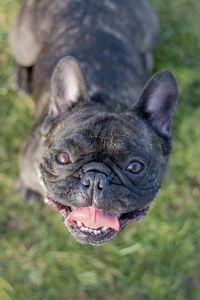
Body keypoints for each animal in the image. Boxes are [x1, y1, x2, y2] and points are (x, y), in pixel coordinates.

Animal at [9, 0, 178, 245]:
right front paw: (28, 190)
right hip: (24, 46)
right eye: (62, 157)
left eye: (135, 167)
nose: (95, 178)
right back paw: (21, 78)